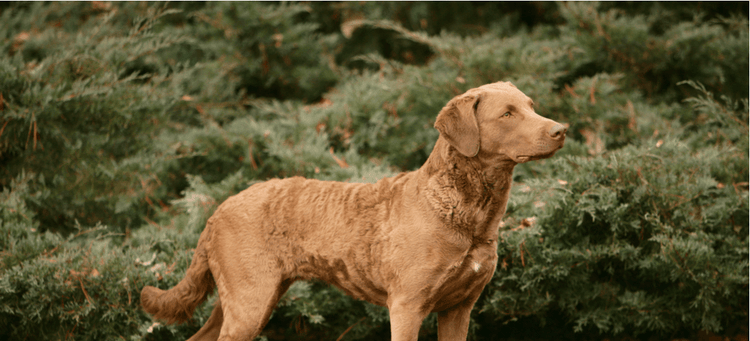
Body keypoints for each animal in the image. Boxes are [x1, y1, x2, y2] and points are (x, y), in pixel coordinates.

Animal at [141, 81, 568, 338]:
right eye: (507, 114)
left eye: (532, 106)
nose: (561, 129)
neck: (466, 212)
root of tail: (219, 209)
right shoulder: (407, 306)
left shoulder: (459, 308)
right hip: (250, 300)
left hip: (242, 297)